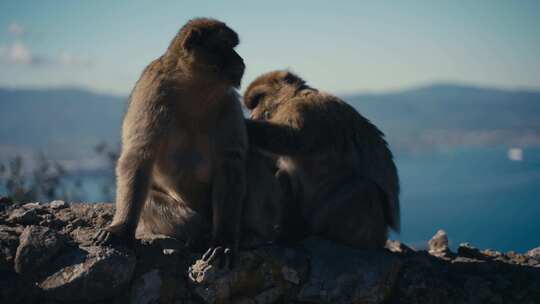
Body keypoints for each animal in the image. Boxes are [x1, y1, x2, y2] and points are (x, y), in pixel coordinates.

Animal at [94, 17, 249, 258]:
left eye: (233, 46)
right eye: (225, 45)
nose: (240, 60)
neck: (195, 89)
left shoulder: (229, 104)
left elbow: (229, 164)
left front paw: (223, 240)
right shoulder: (151, 94)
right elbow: (139, 155)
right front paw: (121, 228)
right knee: (152, 202)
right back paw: (198, 232)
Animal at [243, 71, 398, 249]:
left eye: (258, 99)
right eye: (253, 104)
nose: (253, 114)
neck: (292, 97)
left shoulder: (305, 110)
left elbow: (293, 139)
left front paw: (247, 125)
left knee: (364, 188)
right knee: (283, 177)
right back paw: (289, 234)